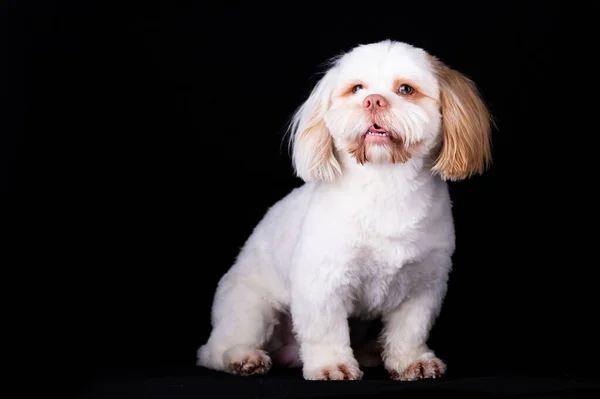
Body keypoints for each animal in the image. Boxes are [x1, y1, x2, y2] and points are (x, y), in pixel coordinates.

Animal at [197, 39, 492, 382]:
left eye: (405, 89)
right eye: (357, 88)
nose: (373, 100)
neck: (386, 184)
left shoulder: (423, 284)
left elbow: (410, 330)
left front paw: (411, 362)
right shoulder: (322, 281)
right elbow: (325, 330)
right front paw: (331, 366)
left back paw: (371, 352)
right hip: (250, 307)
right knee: (216, 348)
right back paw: (242, 357)